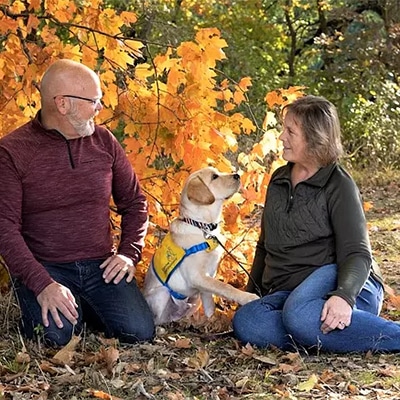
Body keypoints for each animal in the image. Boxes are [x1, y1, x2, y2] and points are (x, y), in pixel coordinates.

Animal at [144, 166, 260, 324]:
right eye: (214, 177)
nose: (237, 175)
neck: (202, 227)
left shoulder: (207, 278)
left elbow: (210, 302)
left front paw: (210, 320)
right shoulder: (197, 276)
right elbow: (224, 286)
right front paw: (247, 298)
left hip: (194, 300)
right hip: (162, 293)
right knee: (158, 319)